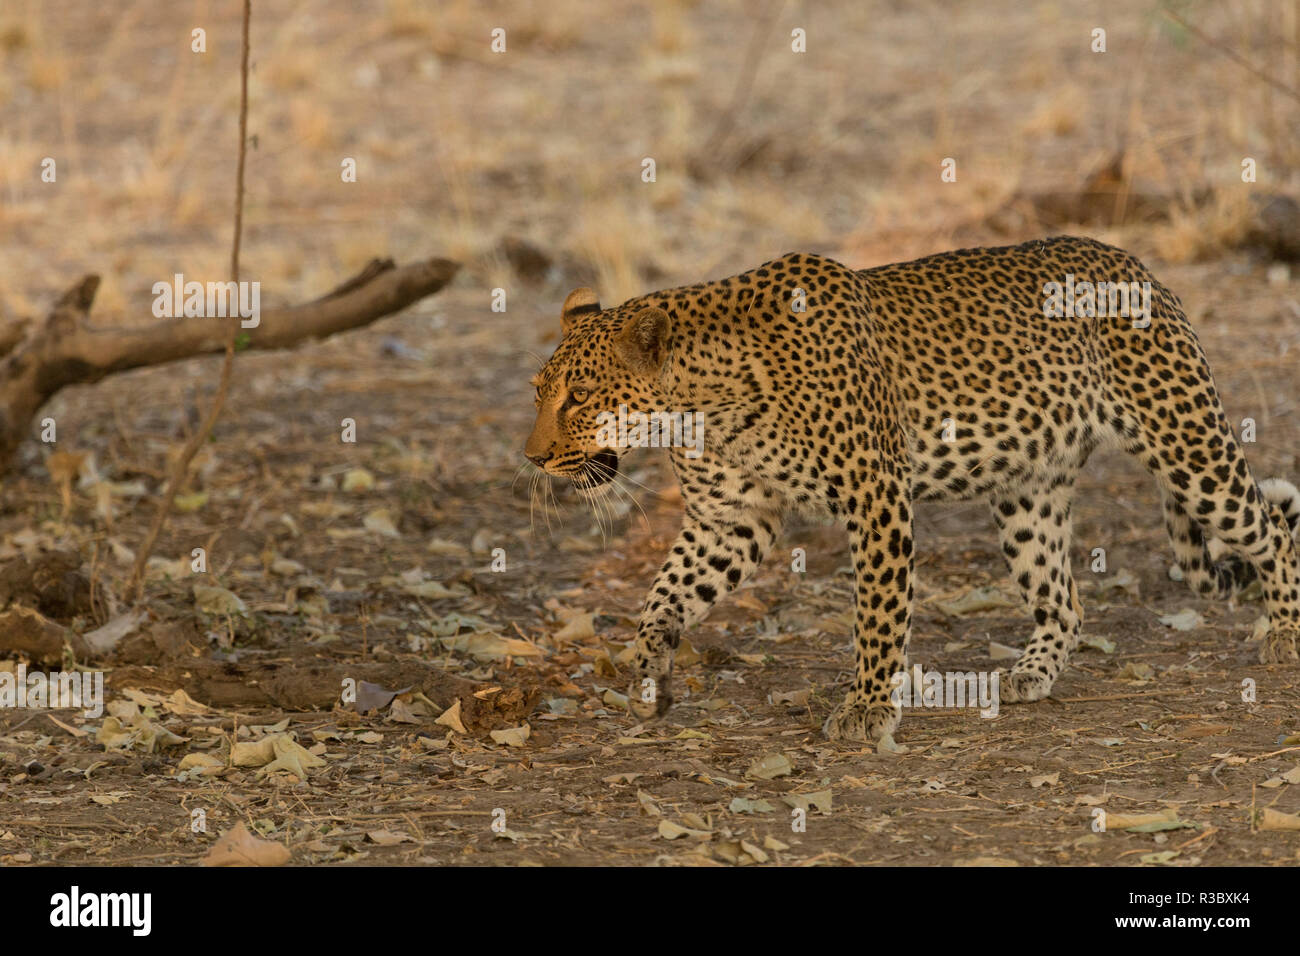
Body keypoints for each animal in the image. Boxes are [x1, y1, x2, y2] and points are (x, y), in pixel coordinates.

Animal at [524, 236, 1300, 744]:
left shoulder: (875, 497)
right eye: (538, 392)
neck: (702, 408)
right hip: (1029, 491)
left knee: (1272, 527)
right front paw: (648, 663)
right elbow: (666, 592)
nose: (533, 459)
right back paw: (1030, 674)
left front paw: (868, 708)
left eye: (580, 397)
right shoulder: (731, 519)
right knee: (1065, 599)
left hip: (1186, 444)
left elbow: (877, 616)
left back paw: (1286, 634)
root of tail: (1138, 266)